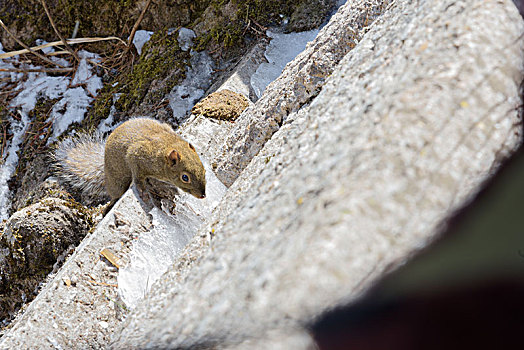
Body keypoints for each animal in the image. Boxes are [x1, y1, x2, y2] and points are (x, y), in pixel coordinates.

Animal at [55, 117, 207, 211]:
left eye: (204, 169)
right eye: (185, 177)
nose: (203, 195)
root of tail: (104, 166)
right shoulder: (137, 154)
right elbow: (137, 175)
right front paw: (143, 190)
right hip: (118, 181)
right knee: (116, 193)